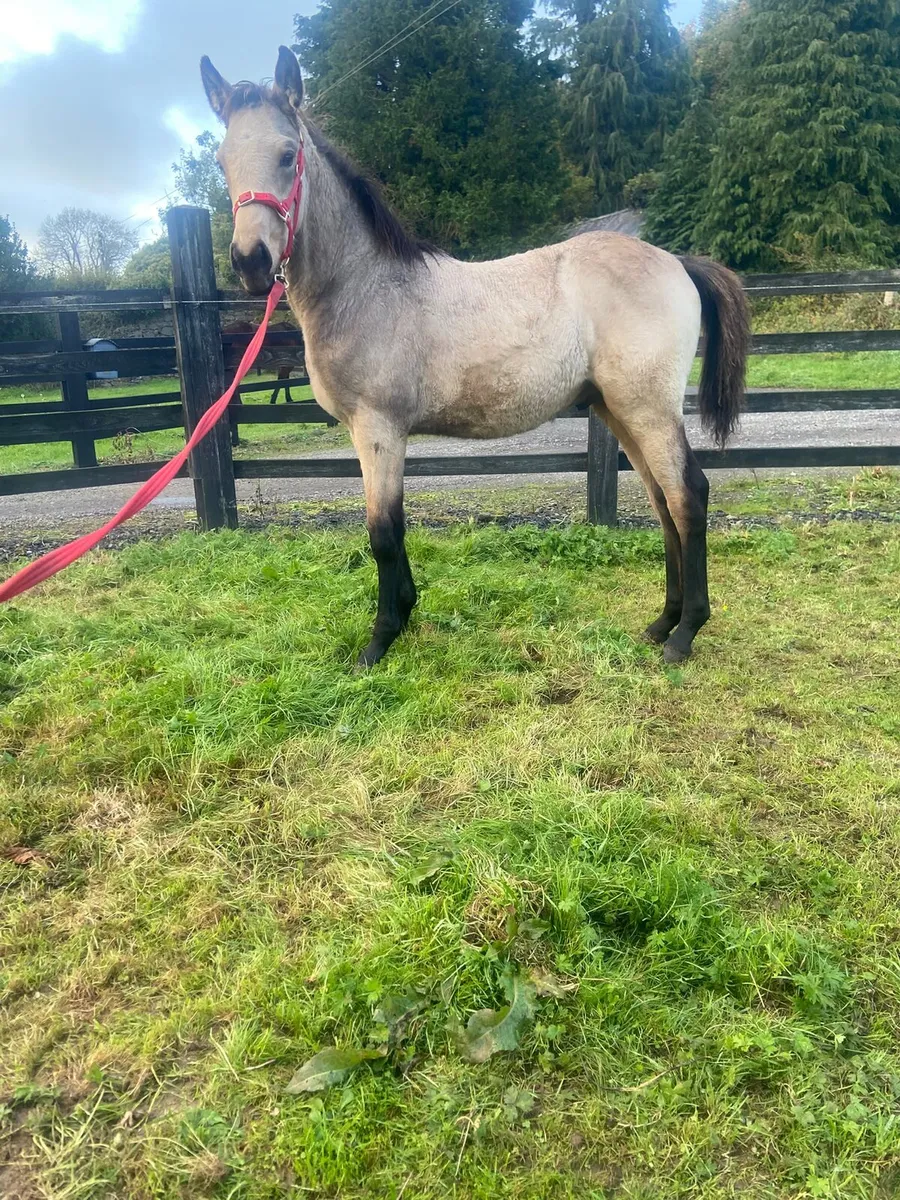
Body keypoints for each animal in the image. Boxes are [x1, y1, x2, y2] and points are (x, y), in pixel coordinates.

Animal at [201, 47, 750, 670]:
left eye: (287, 155)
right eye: (222, 160)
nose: (250, 261)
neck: (366, 287)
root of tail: (676, 261)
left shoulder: (378, 429)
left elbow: (383, 532)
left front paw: (380, 639)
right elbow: (394, 528)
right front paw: (406, 614)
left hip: (649, 409)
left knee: (688, 497)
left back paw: (685, 635)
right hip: (619, 411)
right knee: (663, 503)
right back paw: (662, 623)